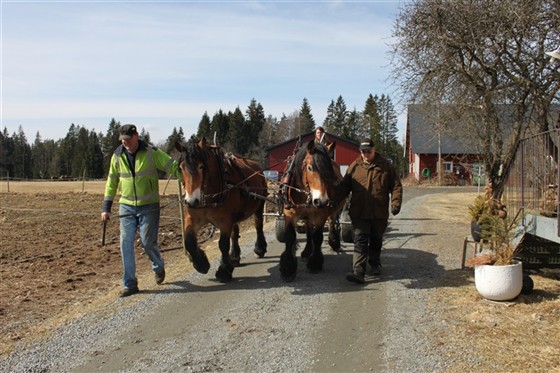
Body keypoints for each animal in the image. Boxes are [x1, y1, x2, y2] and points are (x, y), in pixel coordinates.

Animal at [177, 137, 270, 282]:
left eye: (201, 167)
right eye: (181, 168)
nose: (191, 202)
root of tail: (257, 168)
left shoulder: (225, 222)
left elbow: (223, 244)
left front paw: (224, 270)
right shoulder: (193, 218)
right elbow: (189, 241)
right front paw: (201, 263)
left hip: (260, 204)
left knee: (258, 225)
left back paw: (259, 249)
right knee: (235, 232)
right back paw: (235, 257)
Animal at [278, 141, 344, 280]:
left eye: (329, 170)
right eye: (310, 168)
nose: (321, 201)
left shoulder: (320, 215)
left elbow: (318, 236)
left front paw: (315, 263)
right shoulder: (289, 213)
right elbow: (290, 236)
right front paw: (288, 268)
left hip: (331, 211)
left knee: (331, 222)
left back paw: (334, 242)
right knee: (308, 230)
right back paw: (307, 250)